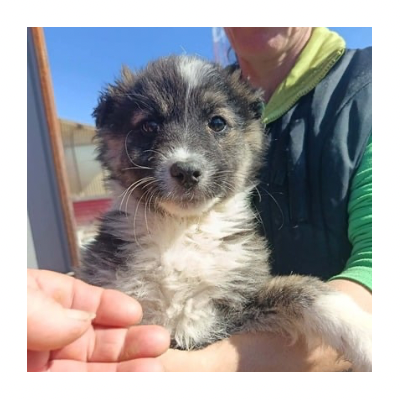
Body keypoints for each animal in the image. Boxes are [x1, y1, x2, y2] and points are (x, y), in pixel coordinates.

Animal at [75, 55, 372, 371]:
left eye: (217, 123)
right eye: (149, 125)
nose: (187, 171)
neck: (183, 230)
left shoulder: (240, 302)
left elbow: (304, 289)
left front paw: (366, 339)